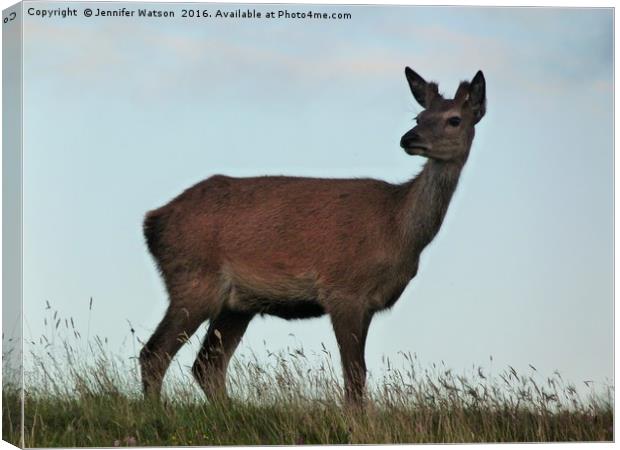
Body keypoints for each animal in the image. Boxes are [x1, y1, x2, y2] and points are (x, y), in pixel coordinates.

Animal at [139, 67, 484, 408]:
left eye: (454, 119)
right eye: (419, 116)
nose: (409, 138)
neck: (398, 230)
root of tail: (152, 221)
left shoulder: (369, 303)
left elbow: (357, 373)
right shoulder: (343, 291)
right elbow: (355, 374)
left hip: (237, 304)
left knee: (207, 363)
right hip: (194, 279)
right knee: (154, 354)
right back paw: (156, 412)